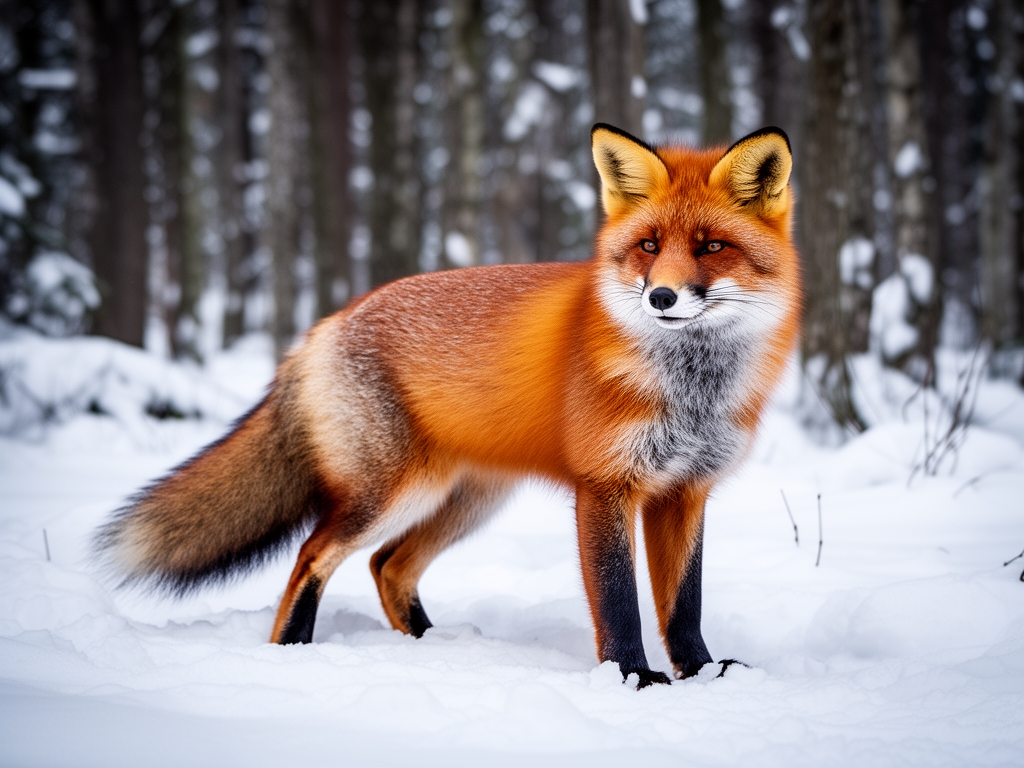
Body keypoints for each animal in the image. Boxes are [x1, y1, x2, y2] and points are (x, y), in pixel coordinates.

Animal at [95, 124, 800, 688]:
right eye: (650, 246)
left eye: (711, 247)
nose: (661, 297)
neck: (690, 390)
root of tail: (324, 326)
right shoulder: (606, 486)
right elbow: (619, 600)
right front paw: (633, 677)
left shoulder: (686, 491)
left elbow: (684, 604)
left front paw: (702, 672)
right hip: (392, 495)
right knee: (314, 554)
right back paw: (294, 650)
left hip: (464, 501)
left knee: (387, 566)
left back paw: (432, 648)